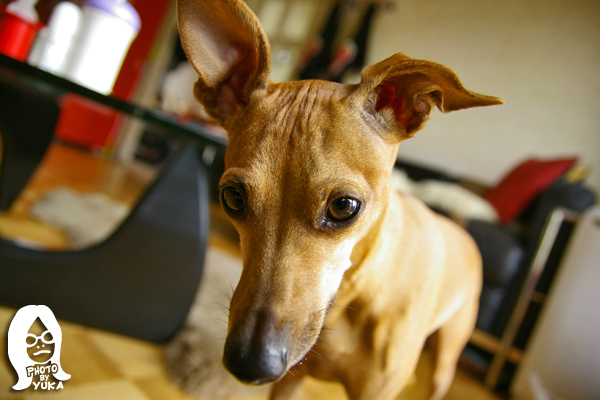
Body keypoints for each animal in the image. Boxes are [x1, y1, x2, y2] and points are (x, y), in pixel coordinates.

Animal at [176, 0, 502, 399]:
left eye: (344, 206)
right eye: (233, 197)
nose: (250, 365)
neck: (349, 296)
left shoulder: (376, 391)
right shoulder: (290, 382)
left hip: (446, 359)